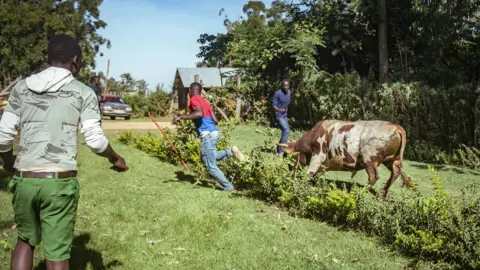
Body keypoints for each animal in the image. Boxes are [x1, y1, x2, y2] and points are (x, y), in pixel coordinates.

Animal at [282, 120, 412, 198]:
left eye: (288, 157)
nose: (290, 172)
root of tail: (396, 126)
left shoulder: (318, 154)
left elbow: (310, 171)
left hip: (369, 158)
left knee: (373, 176)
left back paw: (360, 192)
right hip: (392, 160)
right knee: (395, 173)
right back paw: (383, 193)